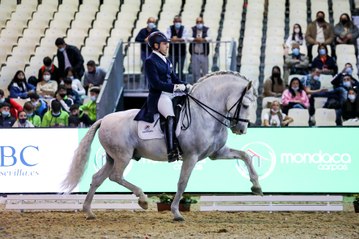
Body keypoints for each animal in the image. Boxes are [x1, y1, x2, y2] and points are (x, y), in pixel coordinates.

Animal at [63, 70, 262, 220]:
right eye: (245, 105)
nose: (242, 129)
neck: (204, 113)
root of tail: (104, 119)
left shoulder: (217, 153)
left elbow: (246, 156)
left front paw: (256, 187)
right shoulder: (191, 156)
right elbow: (182, 183)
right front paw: (176, 213)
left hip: (112, 158)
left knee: (98, 178)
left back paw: (88, 212)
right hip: (123, 156)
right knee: (116, 176)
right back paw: (143, 200)